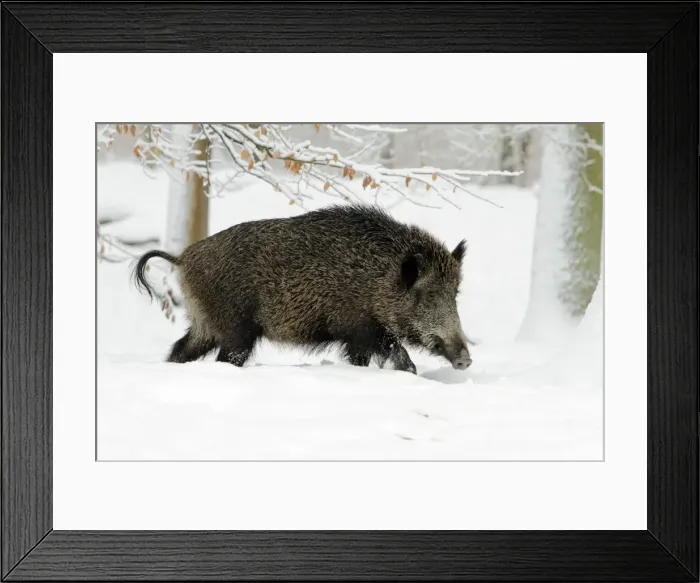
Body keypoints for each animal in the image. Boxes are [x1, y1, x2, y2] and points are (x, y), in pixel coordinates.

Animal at [133, 203, 472, 374]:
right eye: (428, 294)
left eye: (455, 293)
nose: (465, 360)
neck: (378, 279)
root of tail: (182, 258)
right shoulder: (361, 328)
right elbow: (400, 357)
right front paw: (409, 372)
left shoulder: (359, 337)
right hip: (235, 328)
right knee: (222, 358)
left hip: (207, 325)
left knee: (180, 350)